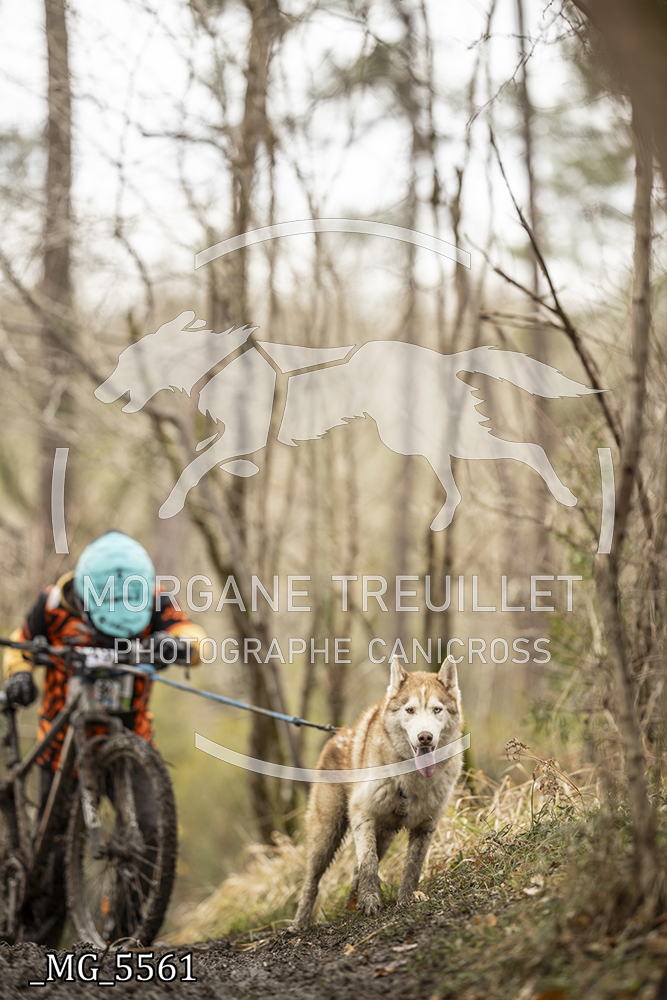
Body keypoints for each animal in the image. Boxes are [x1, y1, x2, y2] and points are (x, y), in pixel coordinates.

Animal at [95, 311, 600, 530]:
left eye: (125, 360)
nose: (100, 392)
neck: (218, 363)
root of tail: (444, 357)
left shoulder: (244, 433)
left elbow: (194, 466)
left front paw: (171, 504)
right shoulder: (240, 436)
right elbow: (211, 456)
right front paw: (239, 468)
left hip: (431, 437)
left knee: (529, 450)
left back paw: (565, 496)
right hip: (417, 439)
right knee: (456, 487)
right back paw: (441, 520)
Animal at [290, 656, 463, 929]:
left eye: (437, 710)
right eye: (410, 710)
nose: (425, 737)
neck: (409, 778)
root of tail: (339, 733)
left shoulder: (426, 826)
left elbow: (412, 867)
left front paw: (405, 900)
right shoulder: (362, 813)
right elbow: (369, 864)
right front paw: (371, 901)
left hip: (383, 836)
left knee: (355, 869)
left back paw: (351, 906)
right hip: (327, 834)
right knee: (313, 879)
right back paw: (300, 923)